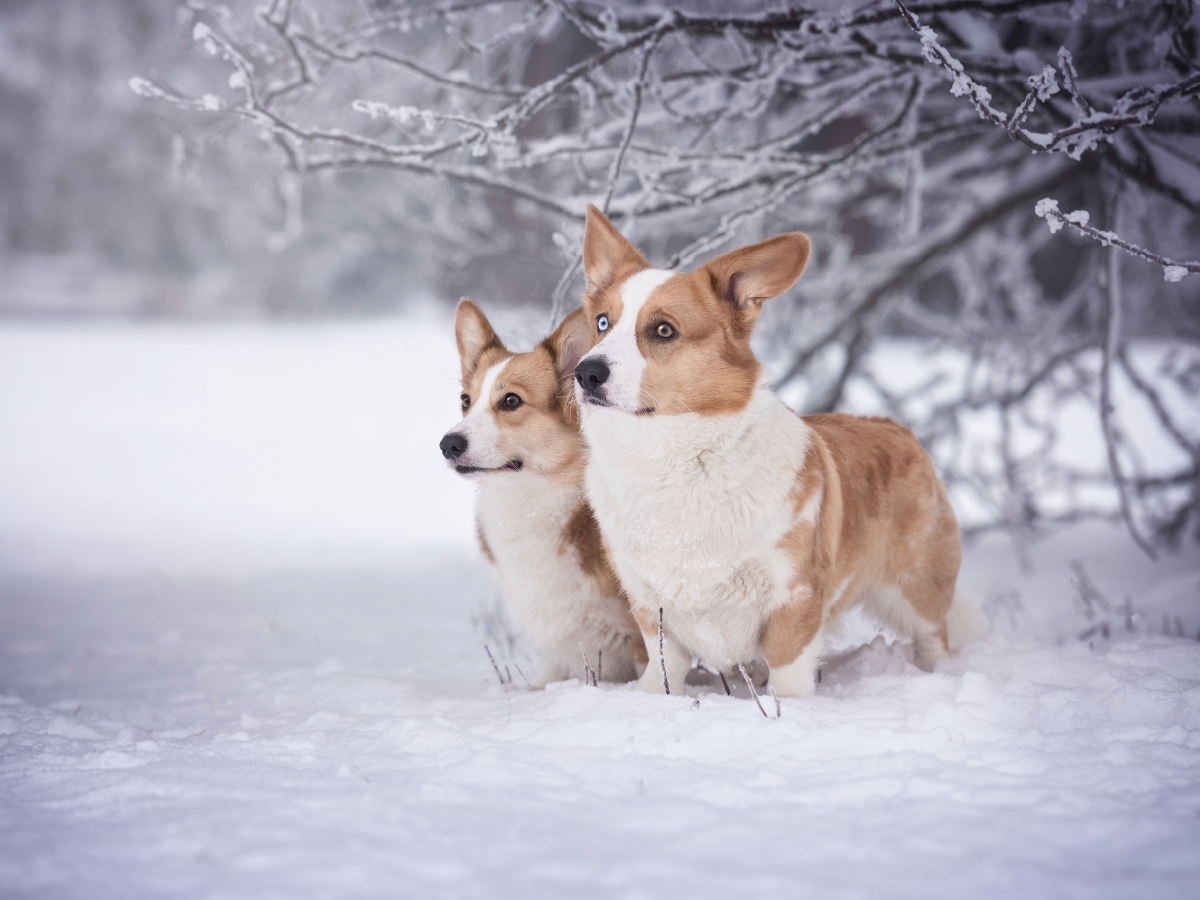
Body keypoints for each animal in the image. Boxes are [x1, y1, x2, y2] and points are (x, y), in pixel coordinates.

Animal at [571, 207, 984, 700]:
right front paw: (653, 697)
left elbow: (786, 667)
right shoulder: (648, 601)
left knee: (934, 639)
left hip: (917, 591)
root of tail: (894, 425)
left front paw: (789, 710)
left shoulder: (794, 594)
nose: (585, 373)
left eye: (663, 330)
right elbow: (663, 663)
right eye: (601, 322)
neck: (673, 461)